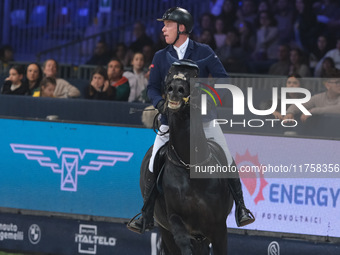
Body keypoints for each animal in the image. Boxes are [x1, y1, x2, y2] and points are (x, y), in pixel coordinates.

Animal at [139, 60, 232, 254]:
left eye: (194, 76)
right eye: (169, 73)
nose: (175, 89)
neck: (189, 165)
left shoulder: (219, 227)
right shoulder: (175, 220)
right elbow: (182, 243)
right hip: (166, 229)